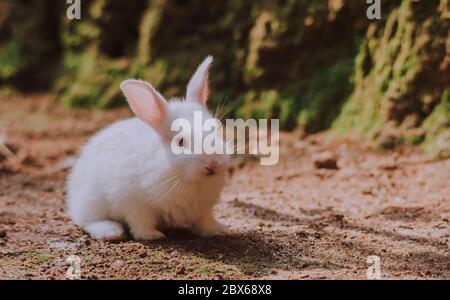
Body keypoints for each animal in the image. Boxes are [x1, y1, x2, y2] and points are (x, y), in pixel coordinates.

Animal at [66, 56, 229, 240]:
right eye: (180, 142)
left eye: (216, 130)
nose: (213, 163)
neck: (184, 178)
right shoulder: (136, 203)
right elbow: (141, 224)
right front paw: (154, 236)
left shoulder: (204, 209)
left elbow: (205, 222)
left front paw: (218, 230)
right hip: (92, 202)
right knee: (86, 221)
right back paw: (111, 231)